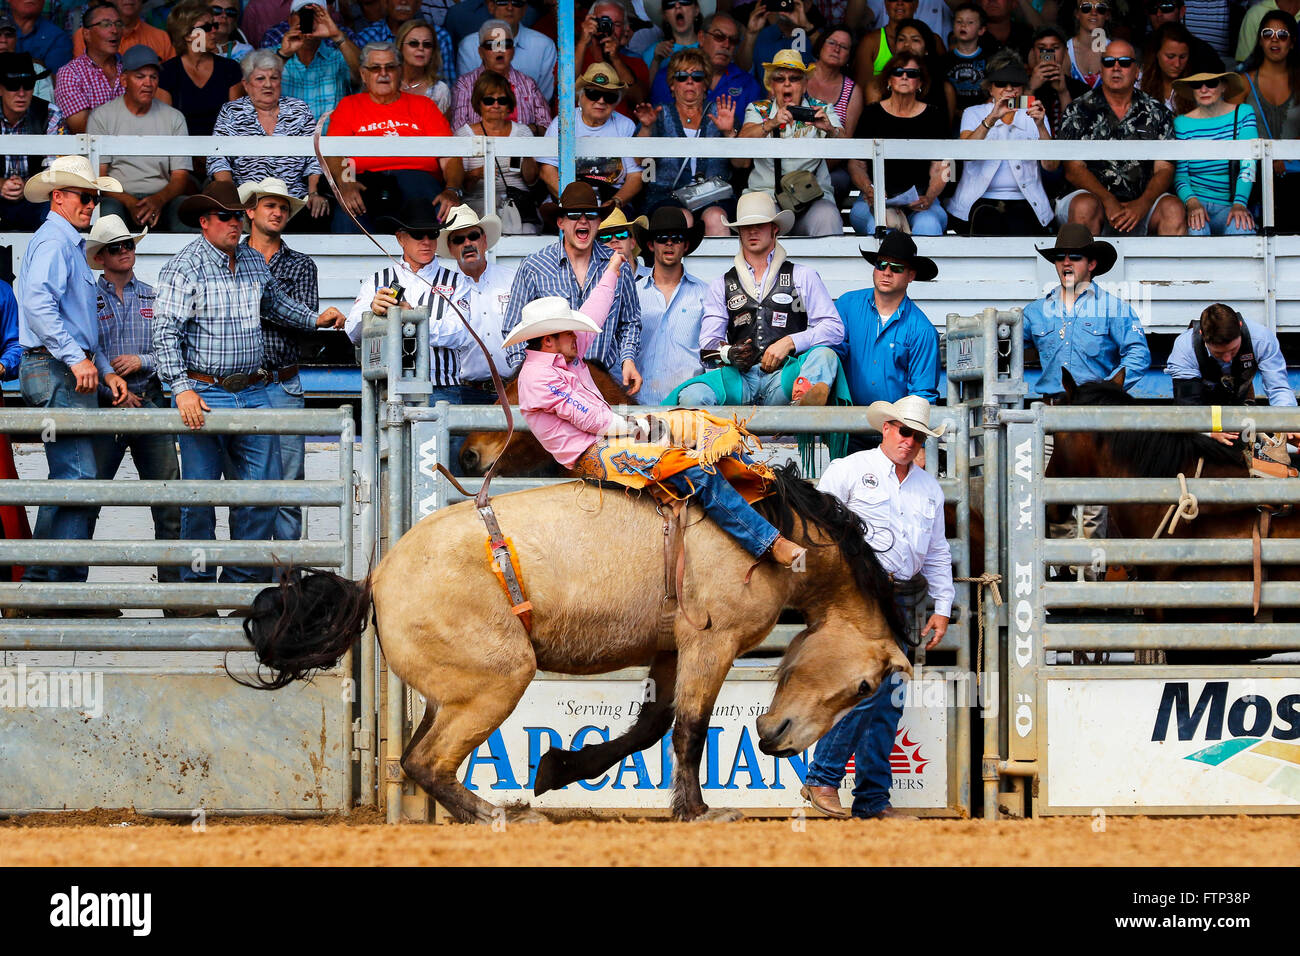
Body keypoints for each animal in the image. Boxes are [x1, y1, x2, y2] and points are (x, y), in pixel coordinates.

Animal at [239, 463, 912, 823]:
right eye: (864, 685)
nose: (776, 742)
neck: (777, 531)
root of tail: (375, 578)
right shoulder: (711, 643)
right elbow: (690, 728)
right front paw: (698, 811)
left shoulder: (671, 647)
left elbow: (651, 725)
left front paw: (562, 766)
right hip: (499, 679)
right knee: (426, 761)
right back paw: (499, 815)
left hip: (451, 692)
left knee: (414, 758)